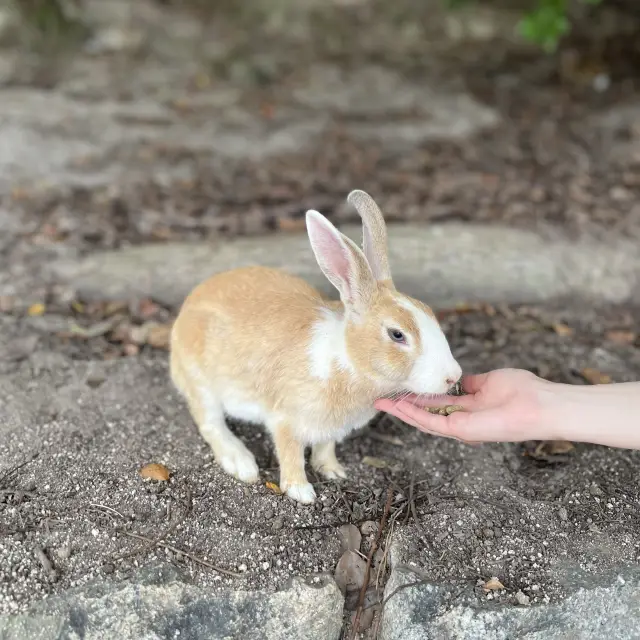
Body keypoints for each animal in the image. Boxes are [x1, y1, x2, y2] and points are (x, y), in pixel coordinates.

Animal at [170, 190, 460, 504]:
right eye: (397, 335)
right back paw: (242, 463)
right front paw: (301, 492)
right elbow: (291, 454)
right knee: (210, 423)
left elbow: (325, 447)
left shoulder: (330, 429)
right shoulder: (285, 419)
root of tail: (182, 317)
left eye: (430, 313)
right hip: (202, 384)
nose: (453, 377)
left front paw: (334, 472)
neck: (347, 360)